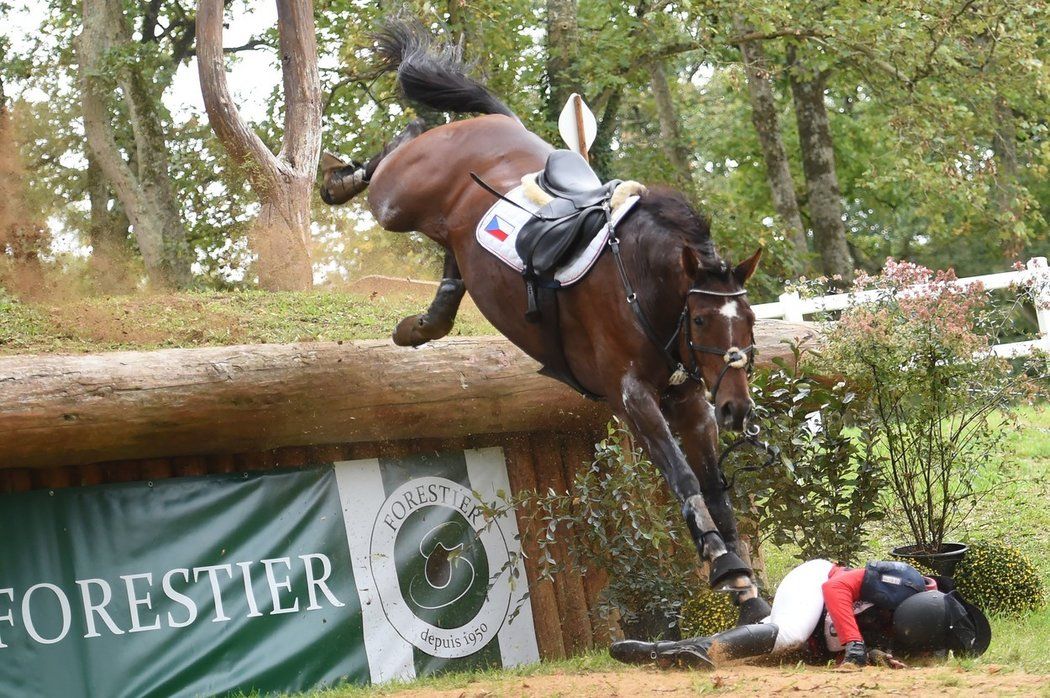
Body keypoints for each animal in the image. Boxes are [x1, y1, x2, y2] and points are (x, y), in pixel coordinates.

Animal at [323, 21, 768, 617]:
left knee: (451, 266)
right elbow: (680, 474)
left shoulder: (691, 398)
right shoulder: (632, 396)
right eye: (699, 320)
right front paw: (723, 563)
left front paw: (743, 583)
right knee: (401, 145)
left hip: (452, 233)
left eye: (750, 319)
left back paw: (421, 325)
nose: (737, 409)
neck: (641, 287)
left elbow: (714, 483)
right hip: (397, 199)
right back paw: (339, 178)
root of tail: (499, 121)